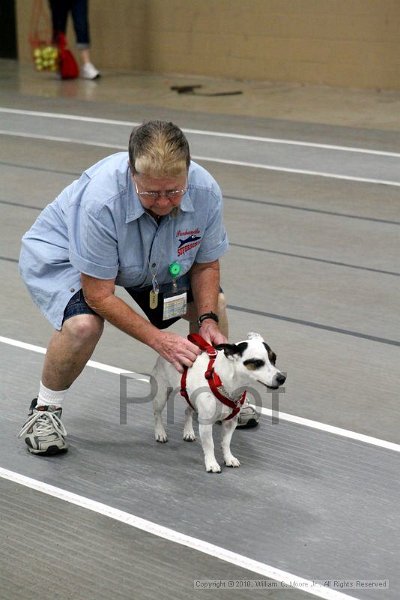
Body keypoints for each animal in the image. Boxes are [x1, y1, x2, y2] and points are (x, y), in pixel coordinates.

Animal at [152, 332, 286, 474]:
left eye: (274, 359)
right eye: (257, 362)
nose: (282, 378)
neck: (225, 383)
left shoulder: (231, 423)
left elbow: (226, 443)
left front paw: (229, 458)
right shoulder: (206, 425)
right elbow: (210, 444)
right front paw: (211, 463)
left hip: (191, 398)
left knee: (187, 411)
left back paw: (188, 432)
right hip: (161, 396)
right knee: (157, 414)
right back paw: (160, 433)